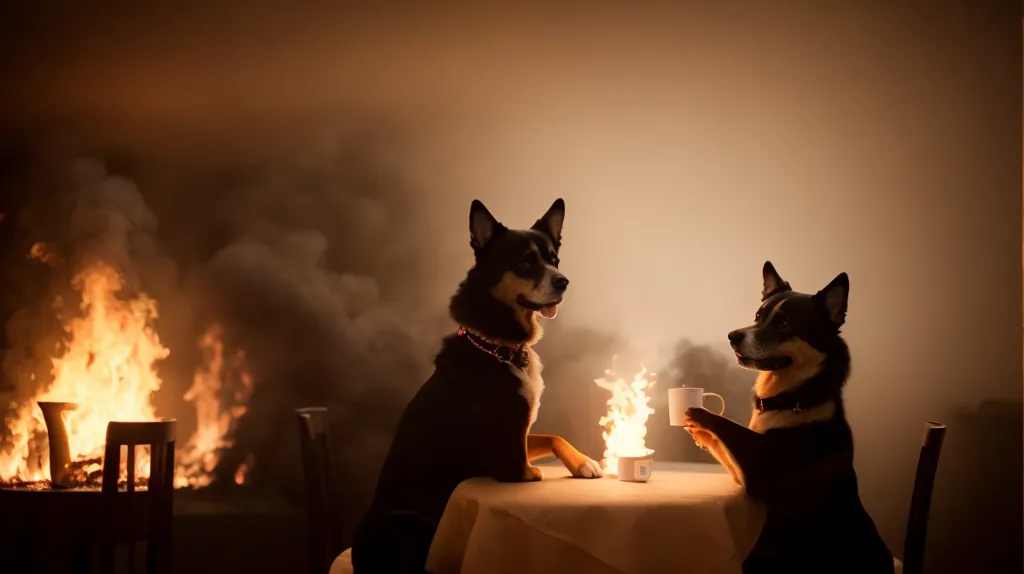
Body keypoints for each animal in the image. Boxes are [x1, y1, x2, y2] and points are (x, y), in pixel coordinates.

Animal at [354, 198, 602, 572]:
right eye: (525, 262)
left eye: (554, 259)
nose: (564, 281)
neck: (499, 347)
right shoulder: (514, 465)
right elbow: (535, 468)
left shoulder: (520, 433)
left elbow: (553, 435)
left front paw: (584, 462)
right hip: (400, 524)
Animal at [684, 263, 892, 572]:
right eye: (757, 317)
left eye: (783, 324)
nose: (732, 336)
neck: (793, 400)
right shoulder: (742, 476)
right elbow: (722, 444)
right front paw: (697, 430)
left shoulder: (758, 469)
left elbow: (729, 426)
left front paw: (699, 413)